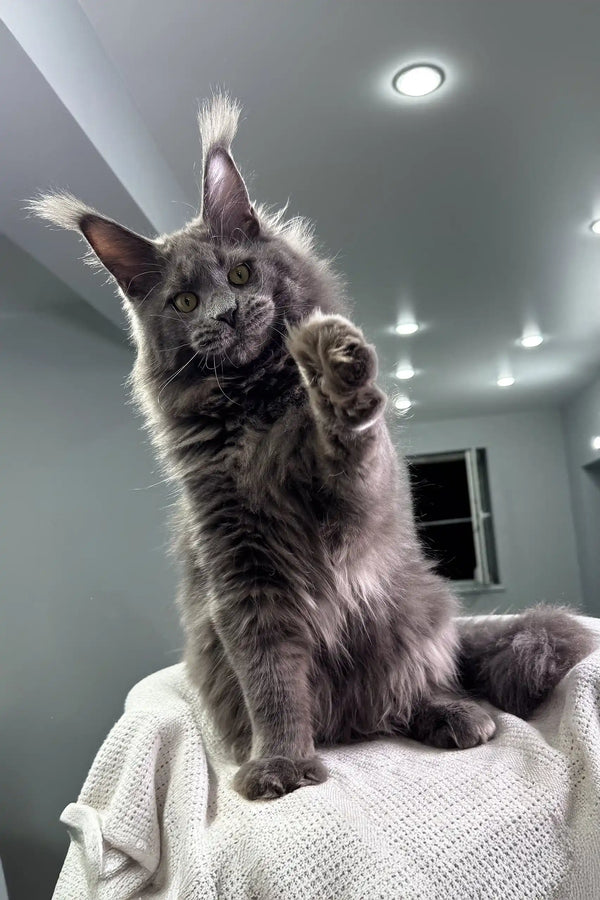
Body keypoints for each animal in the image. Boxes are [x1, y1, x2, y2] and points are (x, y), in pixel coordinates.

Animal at [32, 96, 596, 800]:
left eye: (240, 272)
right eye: (185, 301)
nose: (226, 313)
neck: (257, 417)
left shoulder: (355, 511)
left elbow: (354, 448)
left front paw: (335, 368)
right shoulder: (242, 571)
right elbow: (271, 681)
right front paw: (281, 765)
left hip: (415, 612)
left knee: (420, 686)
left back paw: (456, 714)